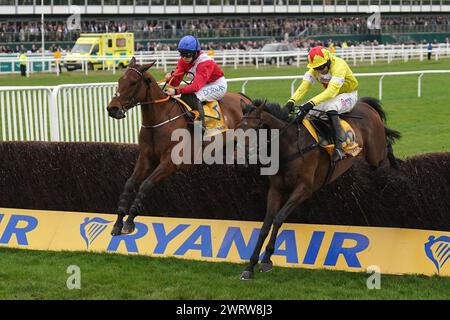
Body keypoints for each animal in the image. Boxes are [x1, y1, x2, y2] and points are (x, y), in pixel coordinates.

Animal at [107, 57, 251, 236]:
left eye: (133, 82)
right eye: (120, 80)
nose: (112, 109)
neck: (159, 119)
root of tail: (243, 98)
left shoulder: (170, 162)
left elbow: (146, 184)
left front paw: (130, 220)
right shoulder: (146, 158)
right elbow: (129, 184)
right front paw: (118, 222)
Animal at [237, 98, 400, 280]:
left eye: (254, 128)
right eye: (238, 127)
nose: (240, 156)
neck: (290, 146)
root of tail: (366, 105)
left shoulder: (304, 189)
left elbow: (278, 219)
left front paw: (266, 260)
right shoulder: (276, 189)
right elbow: (266, 224)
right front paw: (250, 266)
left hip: (375, 154)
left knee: (385, 153)